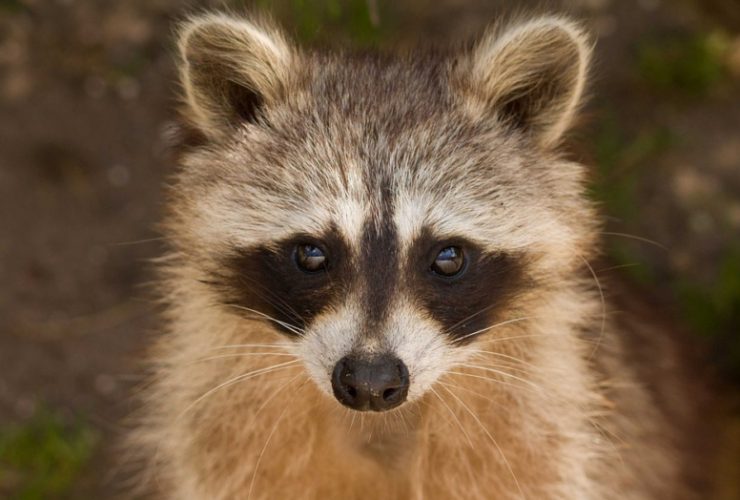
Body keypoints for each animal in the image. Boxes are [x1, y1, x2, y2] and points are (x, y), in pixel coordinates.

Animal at [132, 11, 712, 500]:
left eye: (448, 258)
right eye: (312, 254)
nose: (369, 384)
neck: (379, 426)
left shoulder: (542, 435)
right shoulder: (222, 428)